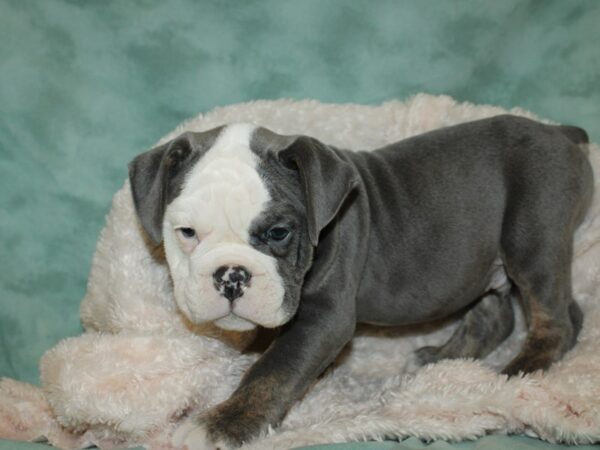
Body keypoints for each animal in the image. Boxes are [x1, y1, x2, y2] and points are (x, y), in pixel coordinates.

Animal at [129, 117, 592, 450]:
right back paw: (439, 361)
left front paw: (223, 425)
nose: (230, 276)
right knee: (495, 317)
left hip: (532, 239)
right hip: (483, 264)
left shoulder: (324, 319)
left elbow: (273, 370)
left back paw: (514, 375)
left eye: (278, 232)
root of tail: (559, 132)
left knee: (558, 320)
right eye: (187, 232)